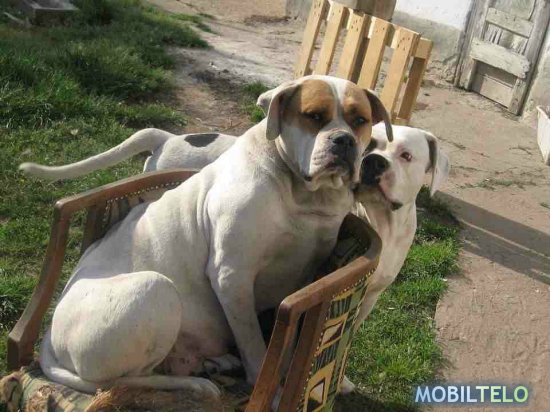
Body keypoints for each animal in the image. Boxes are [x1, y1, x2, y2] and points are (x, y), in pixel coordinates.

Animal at [34, 75, 393, 396]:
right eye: (314, 116)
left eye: (360, 120)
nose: (343, 140)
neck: (303, 196)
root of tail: (48, 339)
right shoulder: (232, 276)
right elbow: (254, 344)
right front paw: (268, 385)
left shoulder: (305, 275)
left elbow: (288, 339)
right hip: (155, 289)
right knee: (122, 381)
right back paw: (198, 383)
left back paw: (217, 363)